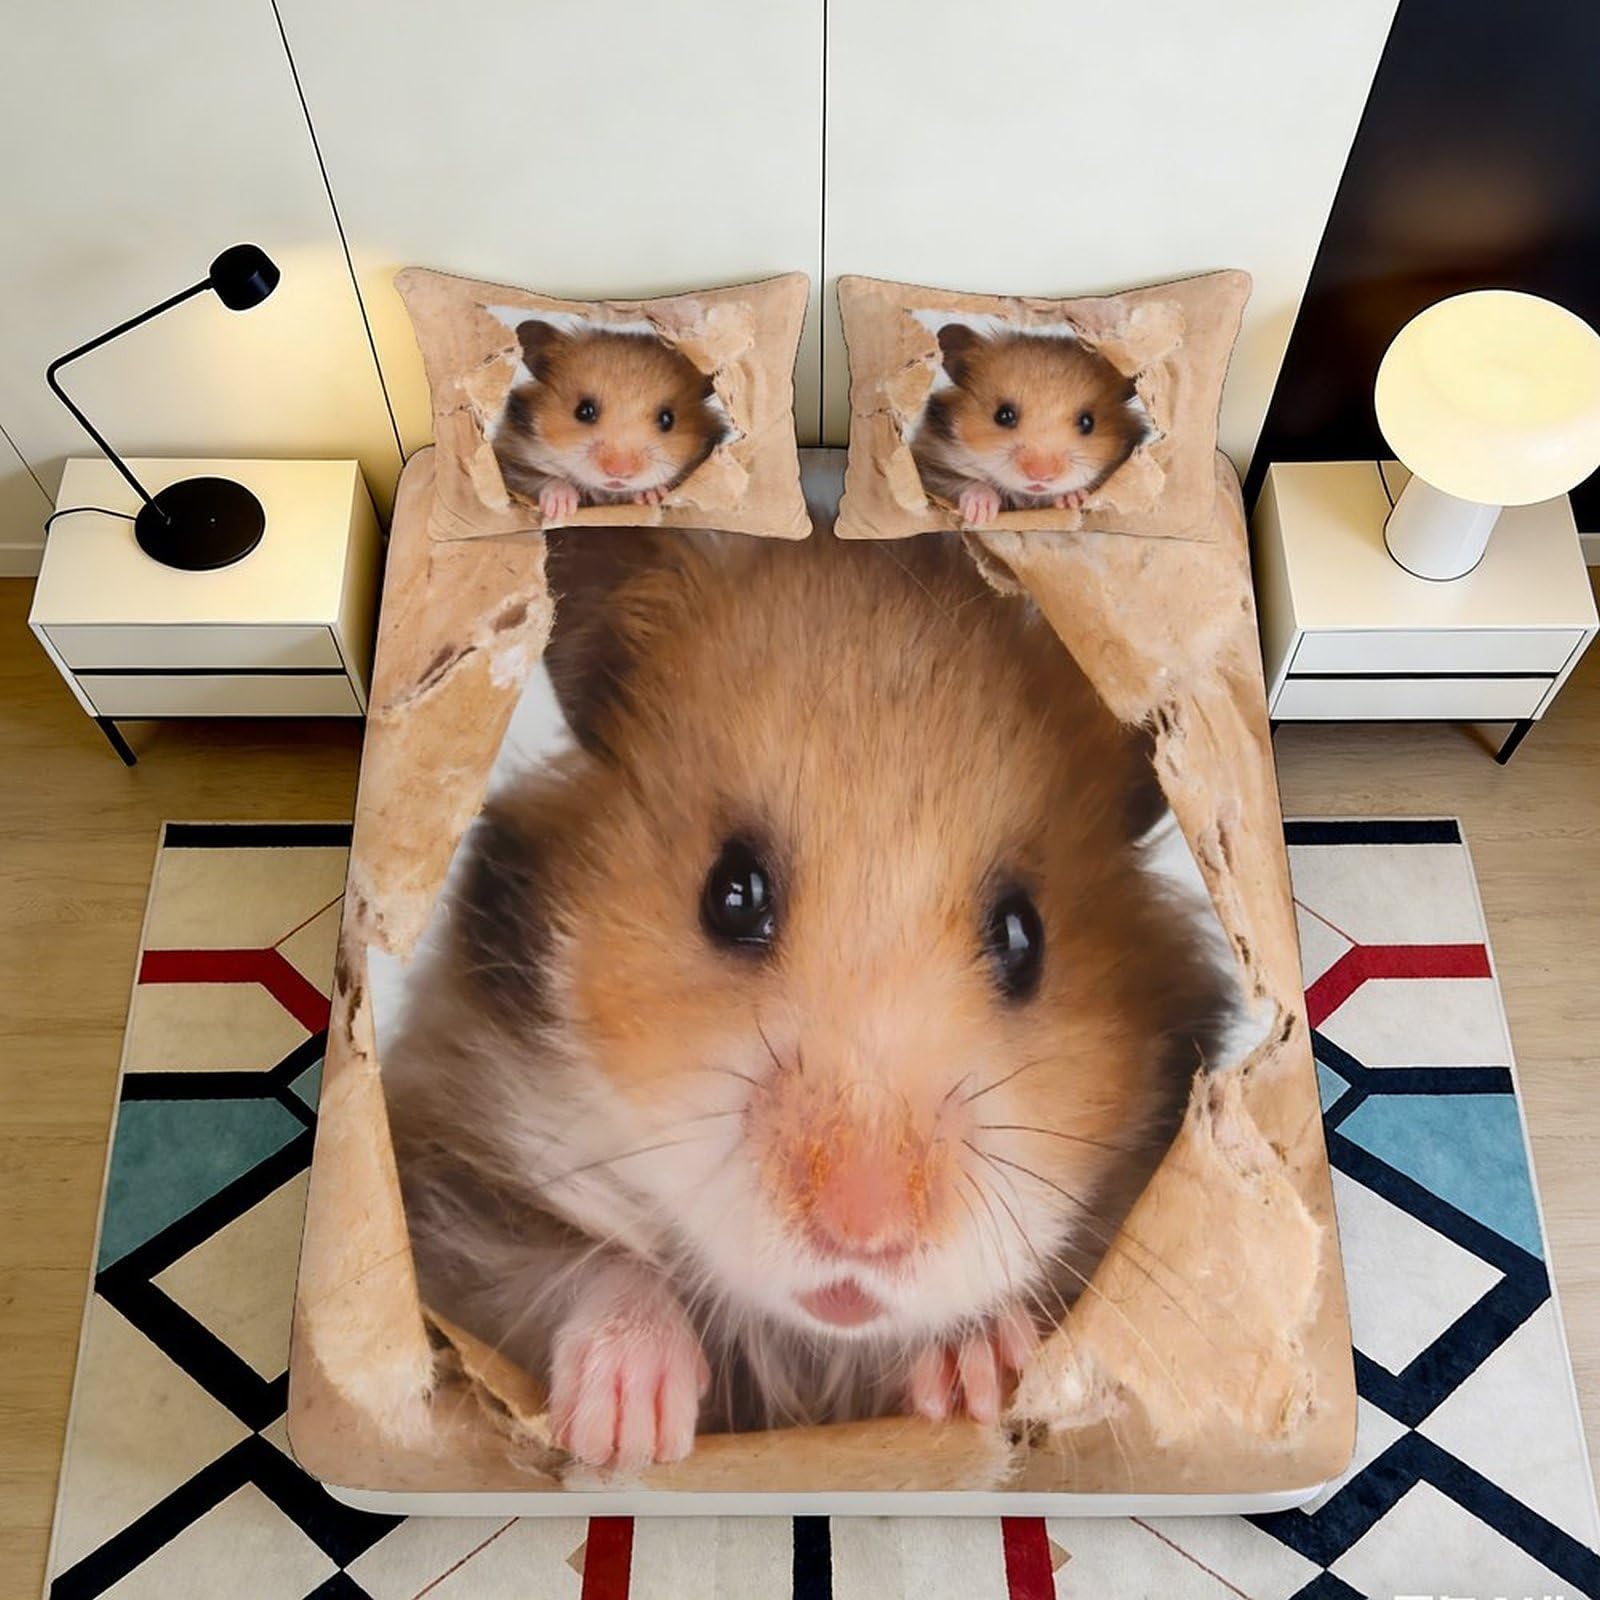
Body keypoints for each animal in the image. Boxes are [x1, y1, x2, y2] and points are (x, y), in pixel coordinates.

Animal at [384, 526, 1233, 1472]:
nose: (862, 1236)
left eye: (1023, 937)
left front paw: (976, 1374)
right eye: (731, 893)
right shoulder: (448, 1200)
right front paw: (632, 1431)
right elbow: (586, 1265)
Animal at [491, 321, 730, 520]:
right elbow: (542, 479)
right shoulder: (510, 462)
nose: (619, 473)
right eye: (584, 410)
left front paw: (651, 495)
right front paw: (562, 506)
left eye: (667, 419)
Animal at [911, 325, 1153, 527]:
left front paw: (1071, 499)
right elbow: (966, 483)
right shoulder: (929, 467)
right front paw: (981, 511)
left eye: (1088, 422)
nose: (1040, 476)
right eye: (1003, 415)